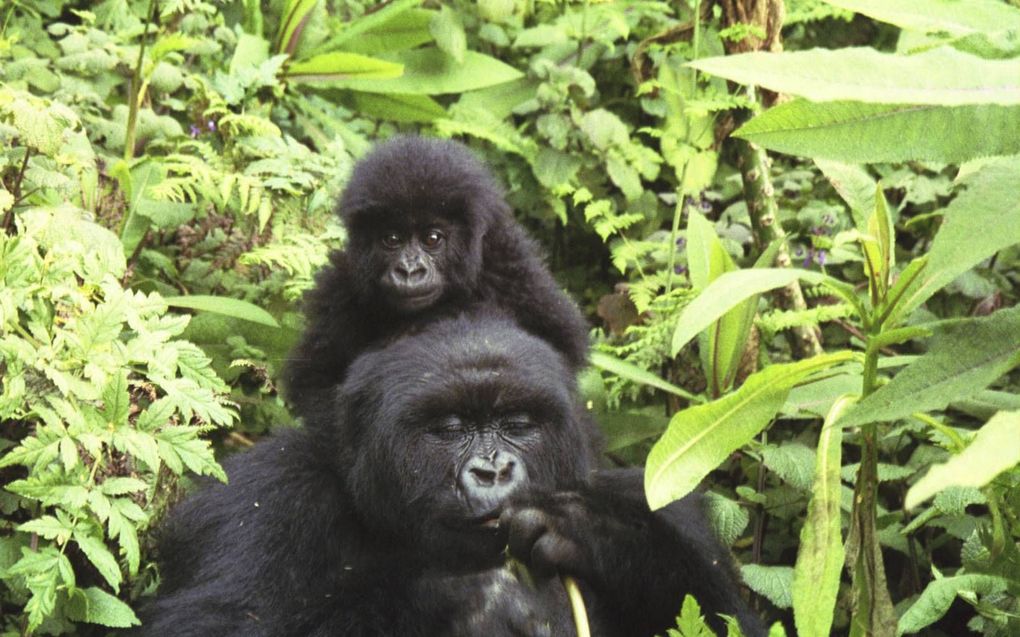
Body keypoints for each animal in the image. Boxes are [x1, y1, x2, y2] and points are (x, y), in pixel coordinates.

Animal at [143, 313, 767, 635]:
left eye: (517, 424)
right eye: (448, 427)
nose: (492, 470)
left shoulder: (656, 500)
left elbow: (735, 620)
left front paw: (595, 535)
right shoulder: (263, 498)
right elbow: (214, 625)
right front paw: (468, 601)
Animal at [285, 136, 591, 417]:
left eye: (432, 238)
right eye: (392, 239)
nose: (410, 271)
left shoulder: (513, 271)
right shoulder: (341, 288)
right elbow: (316, 384)